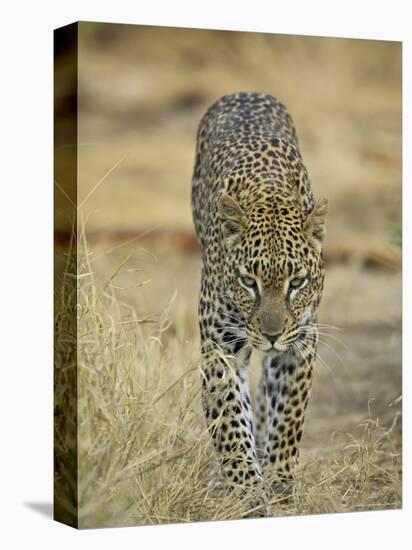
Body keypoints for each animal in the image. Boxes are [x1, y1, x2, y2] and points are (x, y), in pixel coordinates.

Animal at [190, 91, 328, 504]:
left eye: (296, 282)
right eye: (249, 281)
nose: (270, 334)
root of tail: (244, 93)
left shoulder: (301, 342)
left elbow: (288, 418)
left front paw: (279, 482)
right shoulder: (219, 348)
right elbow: (230, 426)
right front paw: (248, 494)